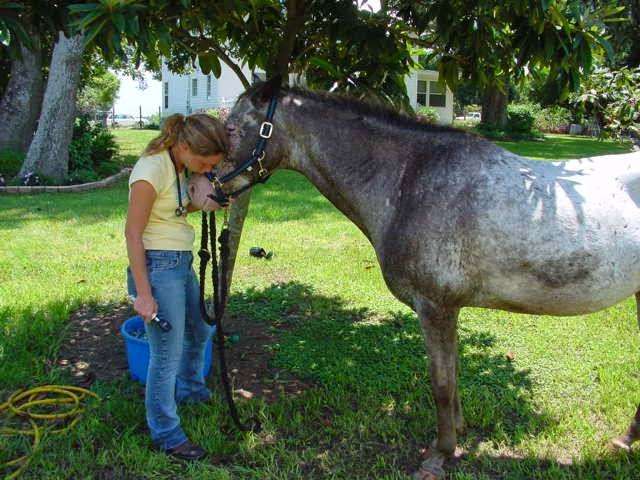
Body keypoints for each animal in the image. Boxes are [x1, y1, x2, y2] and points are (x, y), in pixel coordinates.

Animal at [218, 80, 640, 478]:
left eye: (231, 128)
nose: (210, 187)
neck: (409, 180)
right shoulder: (449, 309)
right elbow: (453, 373)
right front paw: (459, 430)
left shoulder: (435, 307)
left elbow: (441, 382)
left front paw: (440, 453)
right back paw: (623, 441)